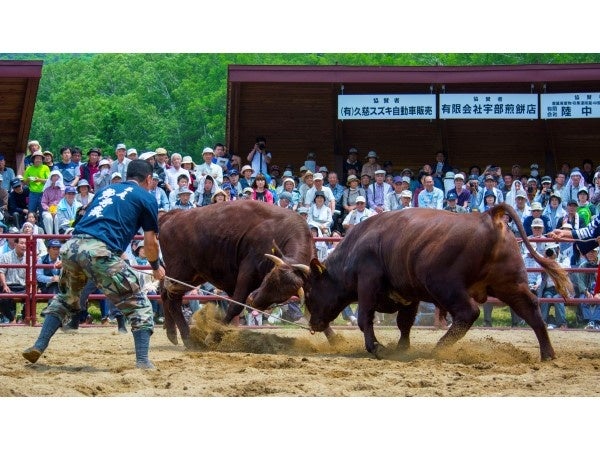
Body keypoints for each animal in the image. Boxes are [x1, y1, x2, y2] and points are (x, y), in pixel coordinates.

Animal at [159, 201, 316, 348]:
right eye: (268, 278)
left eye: (281, 297)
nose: (253, 301)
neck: (281, 230)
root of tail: (173, 216)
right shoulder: (247, 273)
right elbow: (235, 306)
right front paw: (213, 335)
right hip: (179, 273)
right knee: (172, 299)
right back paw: (187, 338)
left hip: (193, 276)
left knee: (165, 294)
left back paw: (172, 333)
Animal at [304, 206, 572, 360]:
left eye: (309, 292)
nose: (313, 324)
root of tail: (487, 217)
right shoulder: (408, 293)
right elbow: (404, 323)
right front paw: (402, 348)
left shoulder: (368, 283)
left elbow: (364, 319)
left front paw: (376, 347)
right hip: (510, 284)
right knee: (530, 308)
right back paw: (547, 354)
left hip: (444, 285)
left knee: (468, 312)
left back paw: (439, 348)